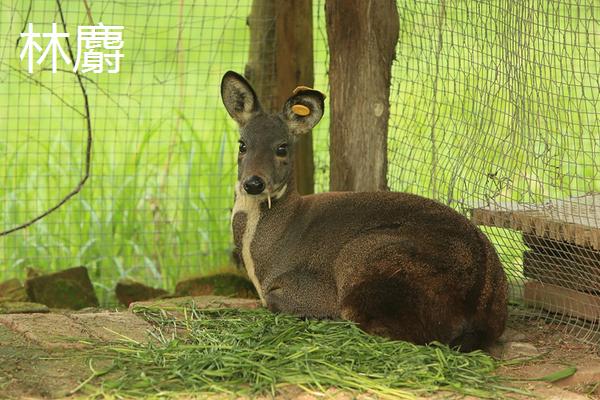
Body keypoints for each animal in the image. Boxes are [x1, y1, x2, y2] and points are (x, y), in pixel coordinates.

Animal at [220, 71, 506, 350]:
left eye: (282, 147)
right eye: (242, 144)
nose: (253, 183)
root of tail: (479, 306)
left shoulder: (310, 289)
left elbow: (279, 301)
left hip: (365, 256)